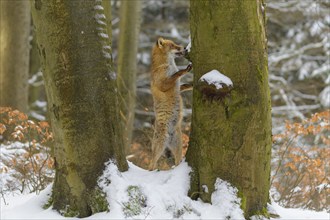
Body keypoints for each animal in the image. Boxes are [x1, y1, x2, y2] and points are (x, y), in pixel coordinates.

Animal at [149, 37, 192, 170]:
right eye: (173, 45)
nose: (184, 47)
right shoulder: (163, 84)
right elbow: (176, 75)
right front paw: (184, 70)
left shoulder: (178, 87)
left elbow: (185, 85)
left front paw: (193, 85)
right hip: (160, 145)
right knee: (151, 164)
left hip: (178, 146)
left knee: (178, 161)